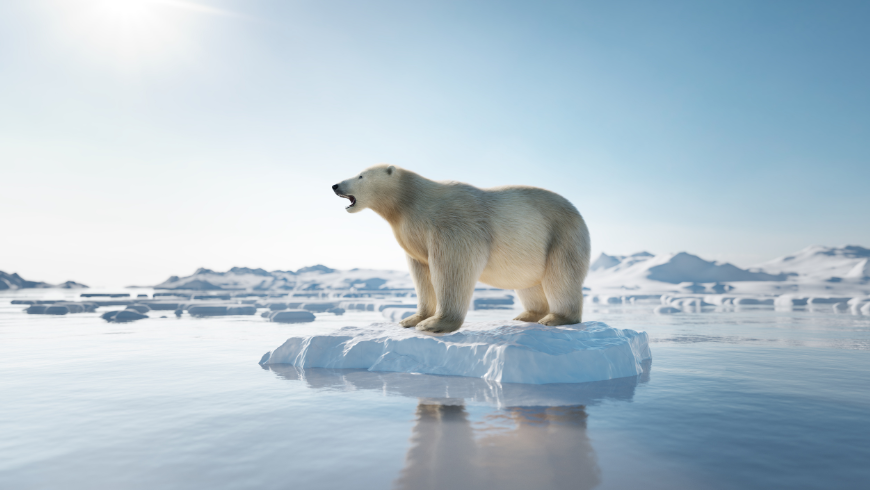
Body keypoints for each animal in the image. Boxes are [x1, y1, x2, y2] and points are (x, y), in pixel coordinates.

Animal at [334, 165, 592, 334]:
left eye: (360, 175)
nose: (335, 185)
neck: (411, 202)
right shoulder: (414, 237)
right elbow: (421, 274)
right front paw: (411, 319)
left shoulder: (452, 224)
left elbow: (452, 267)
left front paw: (434, 324)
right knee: (529, 284)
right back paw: (526, 315)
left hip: (562, 236)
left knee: (560, 277)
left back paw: (555, 318)